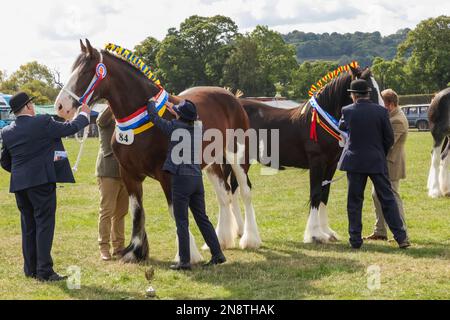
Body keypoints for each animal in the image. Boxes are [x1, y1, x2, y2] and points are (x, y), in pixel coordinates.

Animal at [54, 40, 262, 262]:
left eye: (85, 72)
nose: (60, 106)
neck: (143, 118)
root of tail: (230, 97)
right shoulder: (129, 175)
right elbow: (137, 210)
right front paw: (135, 251)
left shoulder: (167, 175)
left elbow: (175, 211)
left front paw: (187, 254)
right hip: (212, 162)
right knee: (224, 194)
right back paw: (221, 240)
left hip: (237, 156)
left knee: (245, 192)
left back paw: (250, 239)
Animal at [236, 66, 384, 244]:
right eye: (369, 90)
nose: (384, 114)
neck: (321, 121)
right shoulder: (317, 162)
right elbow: (315, 194)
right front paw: (314, 234)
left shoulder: (331, 165)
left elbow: (324, 195)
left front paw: (327, 231)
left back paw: (239, 232)